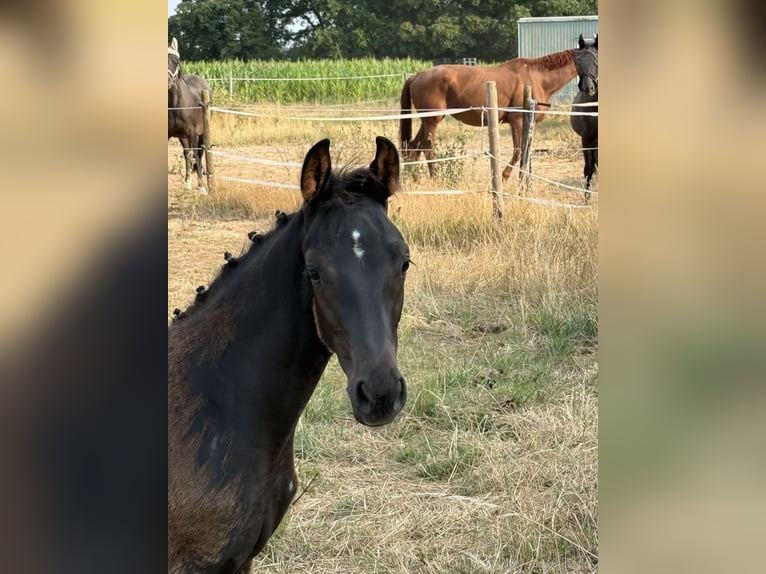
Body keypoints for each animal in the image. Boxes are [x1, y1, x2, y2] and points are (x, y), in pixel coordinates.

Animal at [168, 37, 211, 195]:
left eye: (176, 61)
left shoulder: (192, 134)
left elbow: (197, 157)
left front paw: (202, 188)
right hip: (183, 137)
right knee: (187, 154)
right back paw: (187, 183)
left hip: (201, 134)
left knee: (198, 153)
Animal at [400, 47, 577, 181]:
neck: (536, 78)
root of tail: (417, 75)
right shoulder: (517, 121)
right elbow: (518, 150)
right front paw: (504, 176)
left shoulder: (532, 123)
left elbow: (527, 151)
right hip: (432, 120)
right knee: (427, 147)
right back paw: (436, 178)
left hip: (428, 120)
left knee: (414, 146)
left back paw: (416, 179)